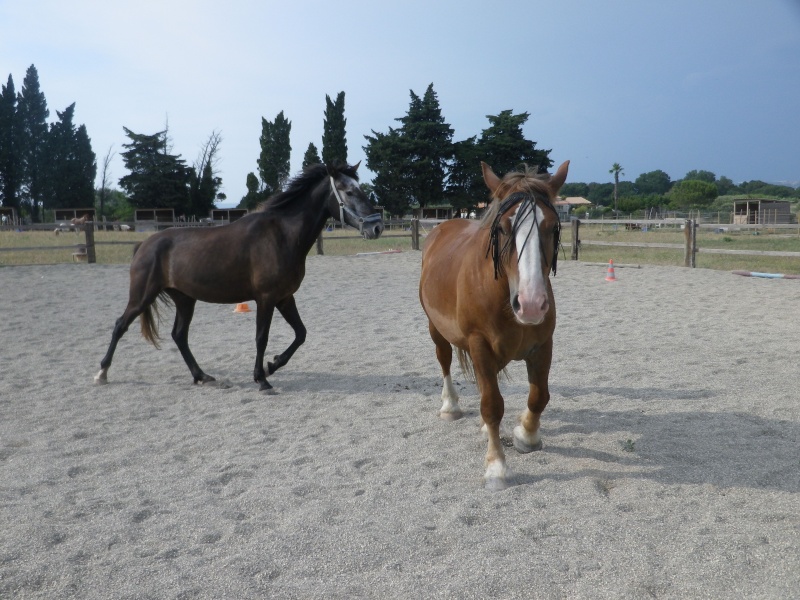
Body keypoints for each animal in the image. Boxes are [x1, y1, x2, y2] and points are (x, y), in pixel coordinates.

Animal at [95, 162, 382, 392]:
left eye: (361, 188)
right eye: (348, 191)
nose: (376, 226)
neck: (282, 236)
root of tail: (144, 244)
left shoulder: (285, 297)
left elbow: (300, 333)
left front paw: (271, 365)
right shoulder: (266, 298)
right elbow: (261, 337)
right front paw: (262, 379)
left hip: (185, 299)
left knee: (179, 335)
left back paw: (201, 376)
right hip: (142, 296)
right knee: (120, 325)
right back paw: (101, 373)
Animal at [418, 161, 568, 492]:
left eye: (553, 226)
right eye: (502, 229)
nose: (531, 304)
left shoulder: (543, 345)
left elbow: (539, 396)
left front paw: (526, 435)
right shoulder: (479, 344)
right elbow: (491, 405)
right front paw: (497, 466)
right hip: (436, 330)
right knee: (445, 361)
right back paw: (451, 407)